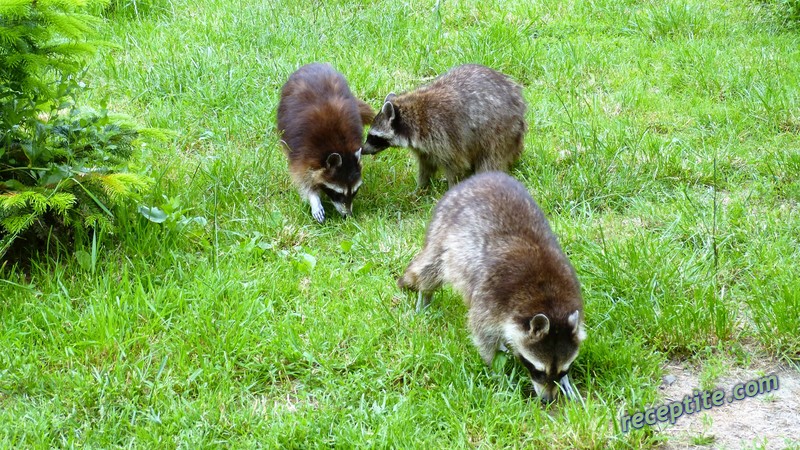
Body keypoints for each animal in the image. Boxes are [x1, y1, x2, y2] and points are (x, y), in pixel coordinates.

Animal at [360, 63, 524, 188]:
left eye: (373, 136)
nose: (362, 150)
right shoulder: (426, 146)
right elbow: (426, 165)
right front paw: (421, 188)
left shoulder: (444, 134)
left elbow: (456, 166)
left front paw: (452, 187)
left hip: (500, 131)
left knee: (490, 159)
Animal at [396, 171, 584, 400]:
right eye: (538, 370)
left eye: (563, 369)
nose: (547, 400)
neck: (547, 298)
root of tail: (479, 177)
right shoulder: (492, 298)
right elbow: (482, 334)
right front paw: (499, 371)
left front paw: (566, 382)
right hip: (443, 233)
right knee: (431, 269)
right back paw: (424, 295)